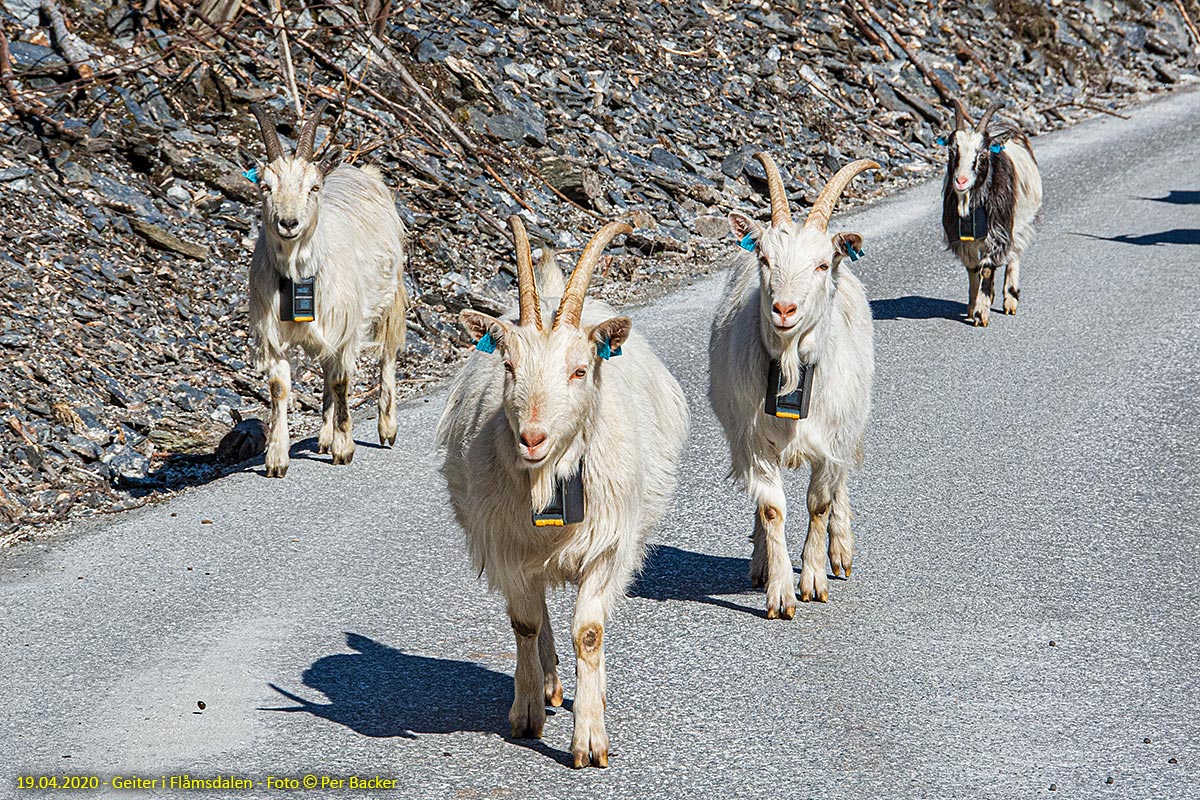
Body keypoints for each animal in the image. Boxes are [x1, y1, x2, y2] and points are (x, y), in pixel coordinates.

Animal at [247, 99, 408, 474]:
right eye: (265, 186)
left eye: (314, 187)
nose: (288, 223)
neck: (298, 278)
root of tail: (362, 171)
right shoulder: (272, 331)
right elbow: (279, 387)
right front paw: (276, 458)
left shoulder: (347, 326)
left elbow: (341, 381)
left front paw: (344, 448)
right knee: (325, 367)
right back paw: (323, 435)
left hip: (389, 294)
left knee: (387, 355)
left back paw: (386, 428)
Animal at [439, 217, 686, 767]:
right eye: (508, 366)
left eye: (579, 369)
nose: (532, 437)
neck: (548, 484)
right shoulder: (507, 548)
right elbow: (525, 624)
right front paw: (528, 710)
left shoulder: (608, 547)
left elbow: (589, 632)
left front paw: (590, 740)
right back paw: (551, 683)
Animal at [705, 154, 878, 618]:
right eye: (765, 258)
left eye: (821, 264)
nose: (784, 309)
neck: (791, 372)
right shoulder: (752, 441)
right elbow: (771, 509)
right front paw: (780, 591)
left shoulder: (832, 436)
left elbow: (819, 503)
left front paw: (815, 578)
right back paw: (760, 562)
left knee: (840, 484)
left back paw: (841, 551)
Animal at [940, 99, 1046, 326]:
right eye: (952, 151)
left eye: (982, 153)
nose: (960, 181)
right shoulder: (963, 239)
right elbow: (974, 268)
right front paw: (973, 306)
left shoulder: (998, 232)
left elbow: (987, 267)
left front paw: (981, 314)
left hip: (1020, 222)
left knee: (1014, 254)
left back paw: (1010, 300)